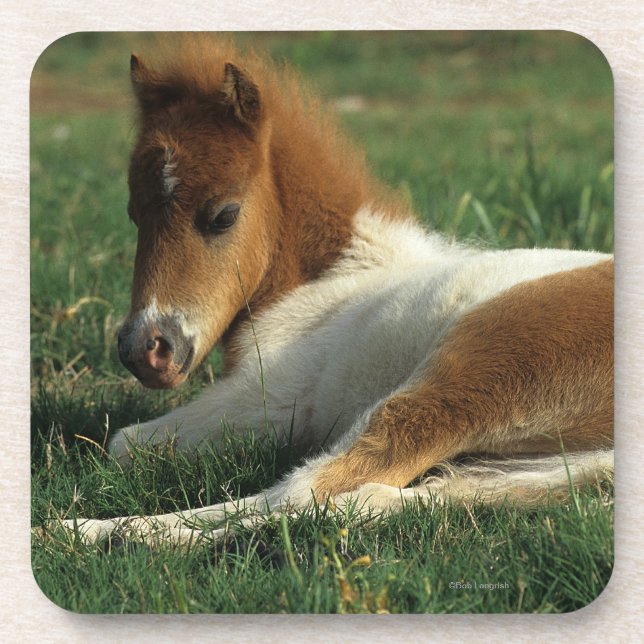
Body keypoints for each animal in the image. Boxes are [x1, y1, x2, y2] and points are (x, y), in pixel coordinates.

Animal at [61, 38, 613, 546]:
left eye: (223, 215)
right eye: (134, 214)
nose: (145, 350)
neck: (333, 276)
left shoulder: (266, 401)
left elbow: (125, 443)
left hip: (467, 382)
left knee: (310, 489)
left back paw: (94, 532)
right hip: (563, 465)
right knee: (380, 496)